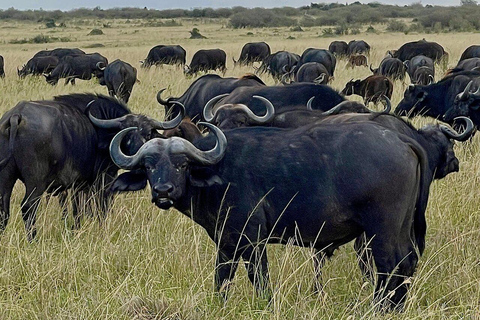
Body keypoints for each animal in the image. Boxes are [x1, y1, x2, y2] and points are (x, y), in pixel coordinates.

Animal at [109, 118, 442, 310]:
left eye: (181, 164)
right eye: (149, 165)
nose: (163, 191)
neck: (218, 170)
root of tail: (401, 139)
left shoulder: (248, 241)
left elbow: (253, 279)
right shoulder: (229, 243)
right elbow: (227, 279)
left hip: (381, 231)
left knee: (390, 266)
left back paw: (382, 308)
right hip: (401, 228)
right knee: (407, 263)